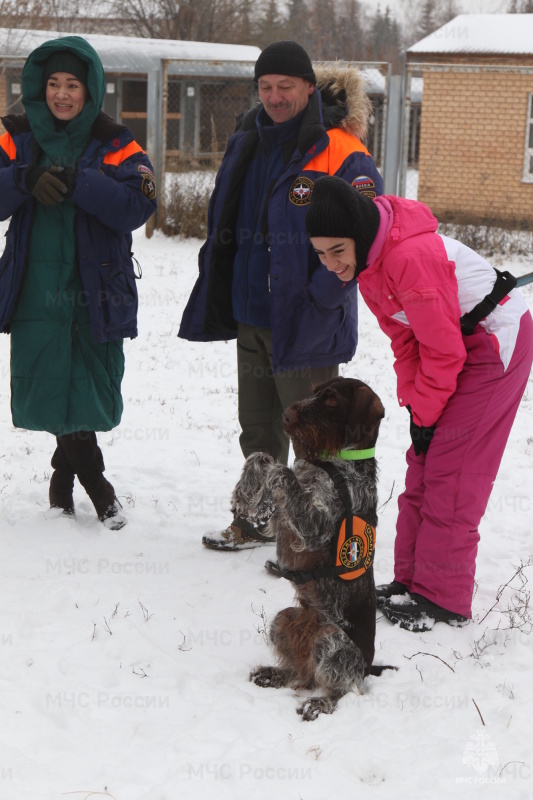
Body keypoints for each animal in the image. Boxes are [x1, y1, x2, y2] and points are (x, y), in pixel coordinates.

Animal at [233, 376, 390, 720]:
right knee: (300, 673)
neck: (332, 463)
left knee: (344, 688)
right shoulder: (279, 523)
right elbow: (261, 457)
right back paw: (273, 675)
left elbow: (284, 471)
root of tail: (367, 668)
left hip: (330, 640)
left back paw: (319, 703)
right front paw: (247, 491)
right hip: (283, 620)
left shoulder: (314, 527)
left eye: (331, 400)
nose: (286, 416)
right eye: (315, 391)